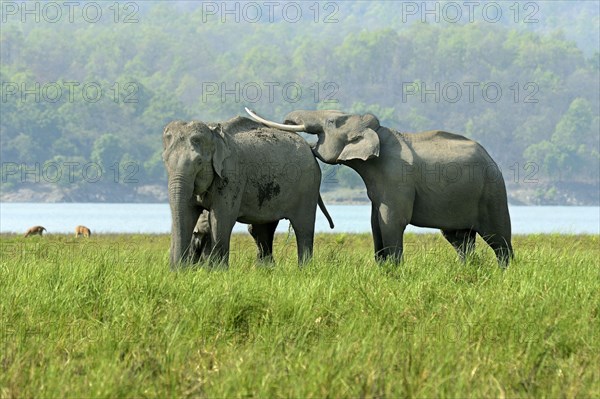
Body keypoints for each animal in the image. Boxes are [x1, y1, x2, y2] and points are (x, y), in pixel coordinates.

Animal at [162, 115, 336, 268]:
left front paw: (217, 271)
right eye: (165, 160)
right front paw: (179, 272)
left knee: (303, 227)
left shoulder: (231, 176)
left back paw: (303, 269)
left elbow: (221, 218)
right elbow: (187, 214)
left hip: (308, 185)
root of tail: (310, 148)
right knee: (261, 229)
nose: (178, 267)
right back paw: (265, 269)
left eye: (198, 161)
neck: (213, 133)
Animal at [246, 108, 512, 268]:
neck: (377, 132)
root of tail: (493, 161)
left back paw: (504, 271)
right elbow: (376, 223)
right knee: (459, 239)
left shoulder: (396, 179)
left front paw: (394, 270)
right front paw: (382, 268)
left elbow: (391, 221)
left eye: (331, 122)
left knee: (498, 238)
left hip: (492, 192)